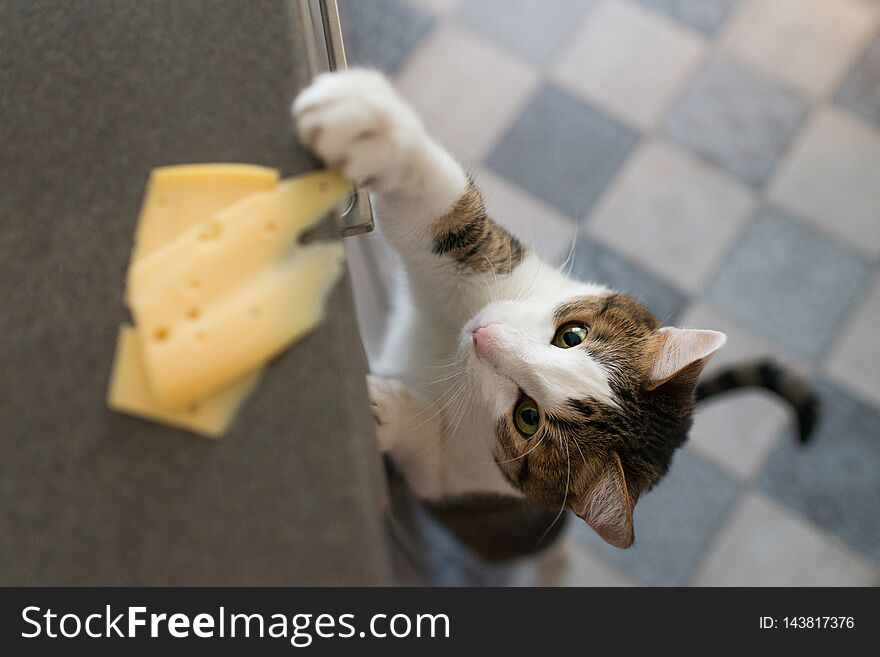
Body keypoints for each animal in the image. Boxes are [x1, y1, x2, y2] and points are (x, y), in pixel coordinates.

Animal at [292, 69, 816, 552]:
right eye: (572, 335)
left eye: (528, 417)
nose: (484, 335)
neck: (448, 351)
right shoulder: (503, 274)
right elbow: (448, 222)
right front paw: (370, 123)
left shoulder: (469, 481)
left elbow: (428, 455)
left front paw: (383, 411)